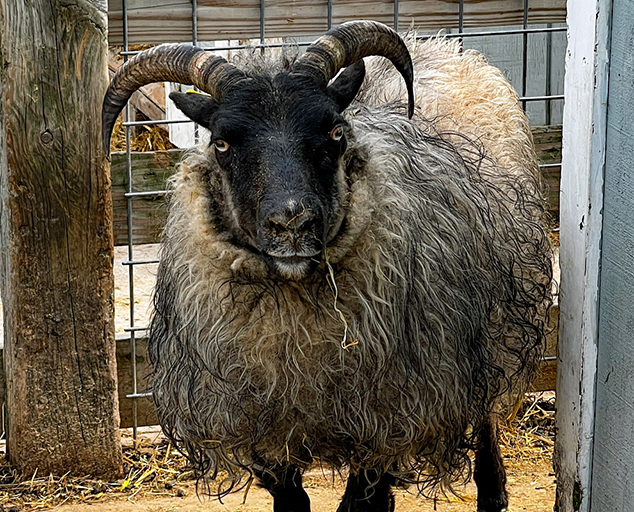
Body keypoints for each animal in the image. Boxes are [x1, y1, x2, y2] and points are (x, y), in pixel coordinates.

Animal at [101, 22, 552, 512]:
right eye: (221, 142)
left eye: (335, 131)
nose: (292, 223)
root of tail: (439, 45)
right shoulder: (256, 420)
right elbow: (292, 498)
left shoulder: (389, 415)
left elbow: (359, 498)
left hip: (494, 324)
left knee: (486, 409)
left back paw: (492, 491)